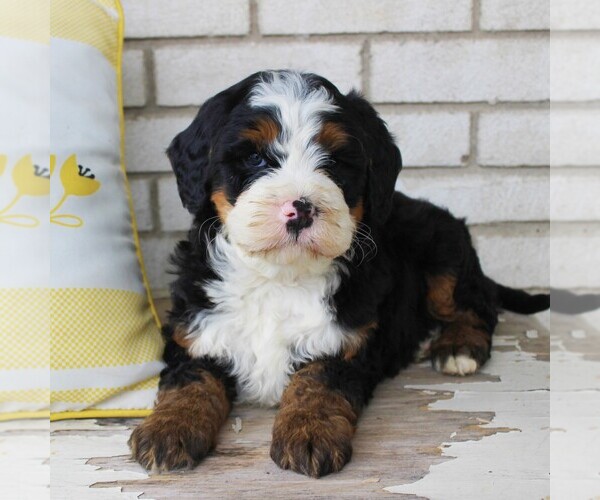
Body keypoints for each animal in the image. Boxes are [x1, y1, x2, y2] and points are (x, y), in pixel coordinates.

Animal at [129, 69, 552, 476]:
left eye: (333, 162)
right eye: (254, 159)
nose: (300, 208)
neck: (278, 277)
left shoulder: (344, 342)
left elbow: (318, 384)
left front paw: (309, 432)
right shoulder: (196, 332)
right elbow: (190, 382)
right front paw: (168, 428)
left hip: (443, 250)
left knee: (477, 304)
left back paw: (458, 347)